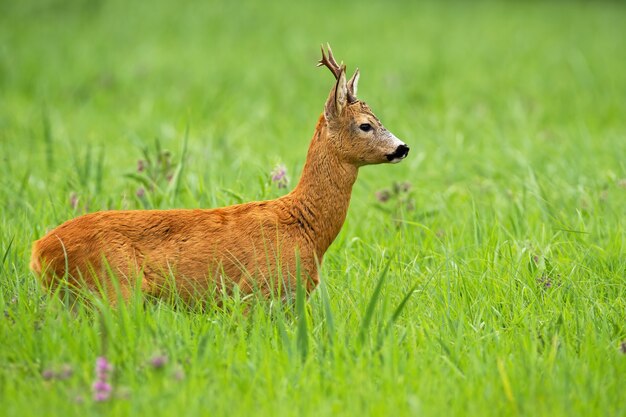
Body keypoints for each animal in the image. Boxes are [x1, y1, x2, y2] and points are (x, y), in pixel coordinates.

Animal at [30, 45, 410, 304]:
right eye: (366, 125)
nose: (403, 147)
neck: (305, 227)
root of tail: (38, 252)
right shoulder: (256, 291)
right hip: (111, 290)